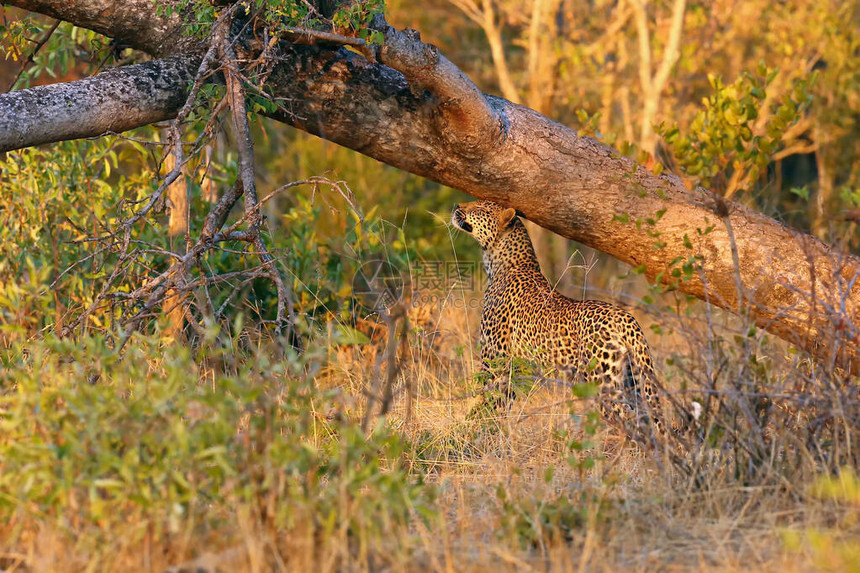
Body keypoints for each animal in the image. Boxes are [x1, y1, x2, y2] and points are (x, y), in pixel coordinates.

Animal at [454, 200, 668, 438]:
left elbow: (486, 399)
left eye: (480, 208)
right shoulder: (514, 367)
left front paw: (472, 431)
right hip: (633, 379)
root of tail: (626, 318)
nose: (457, 206)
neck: (498, 263)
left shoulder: (495, 357)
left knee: (627, 417)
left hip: (602, 380)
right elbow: (502, 402)